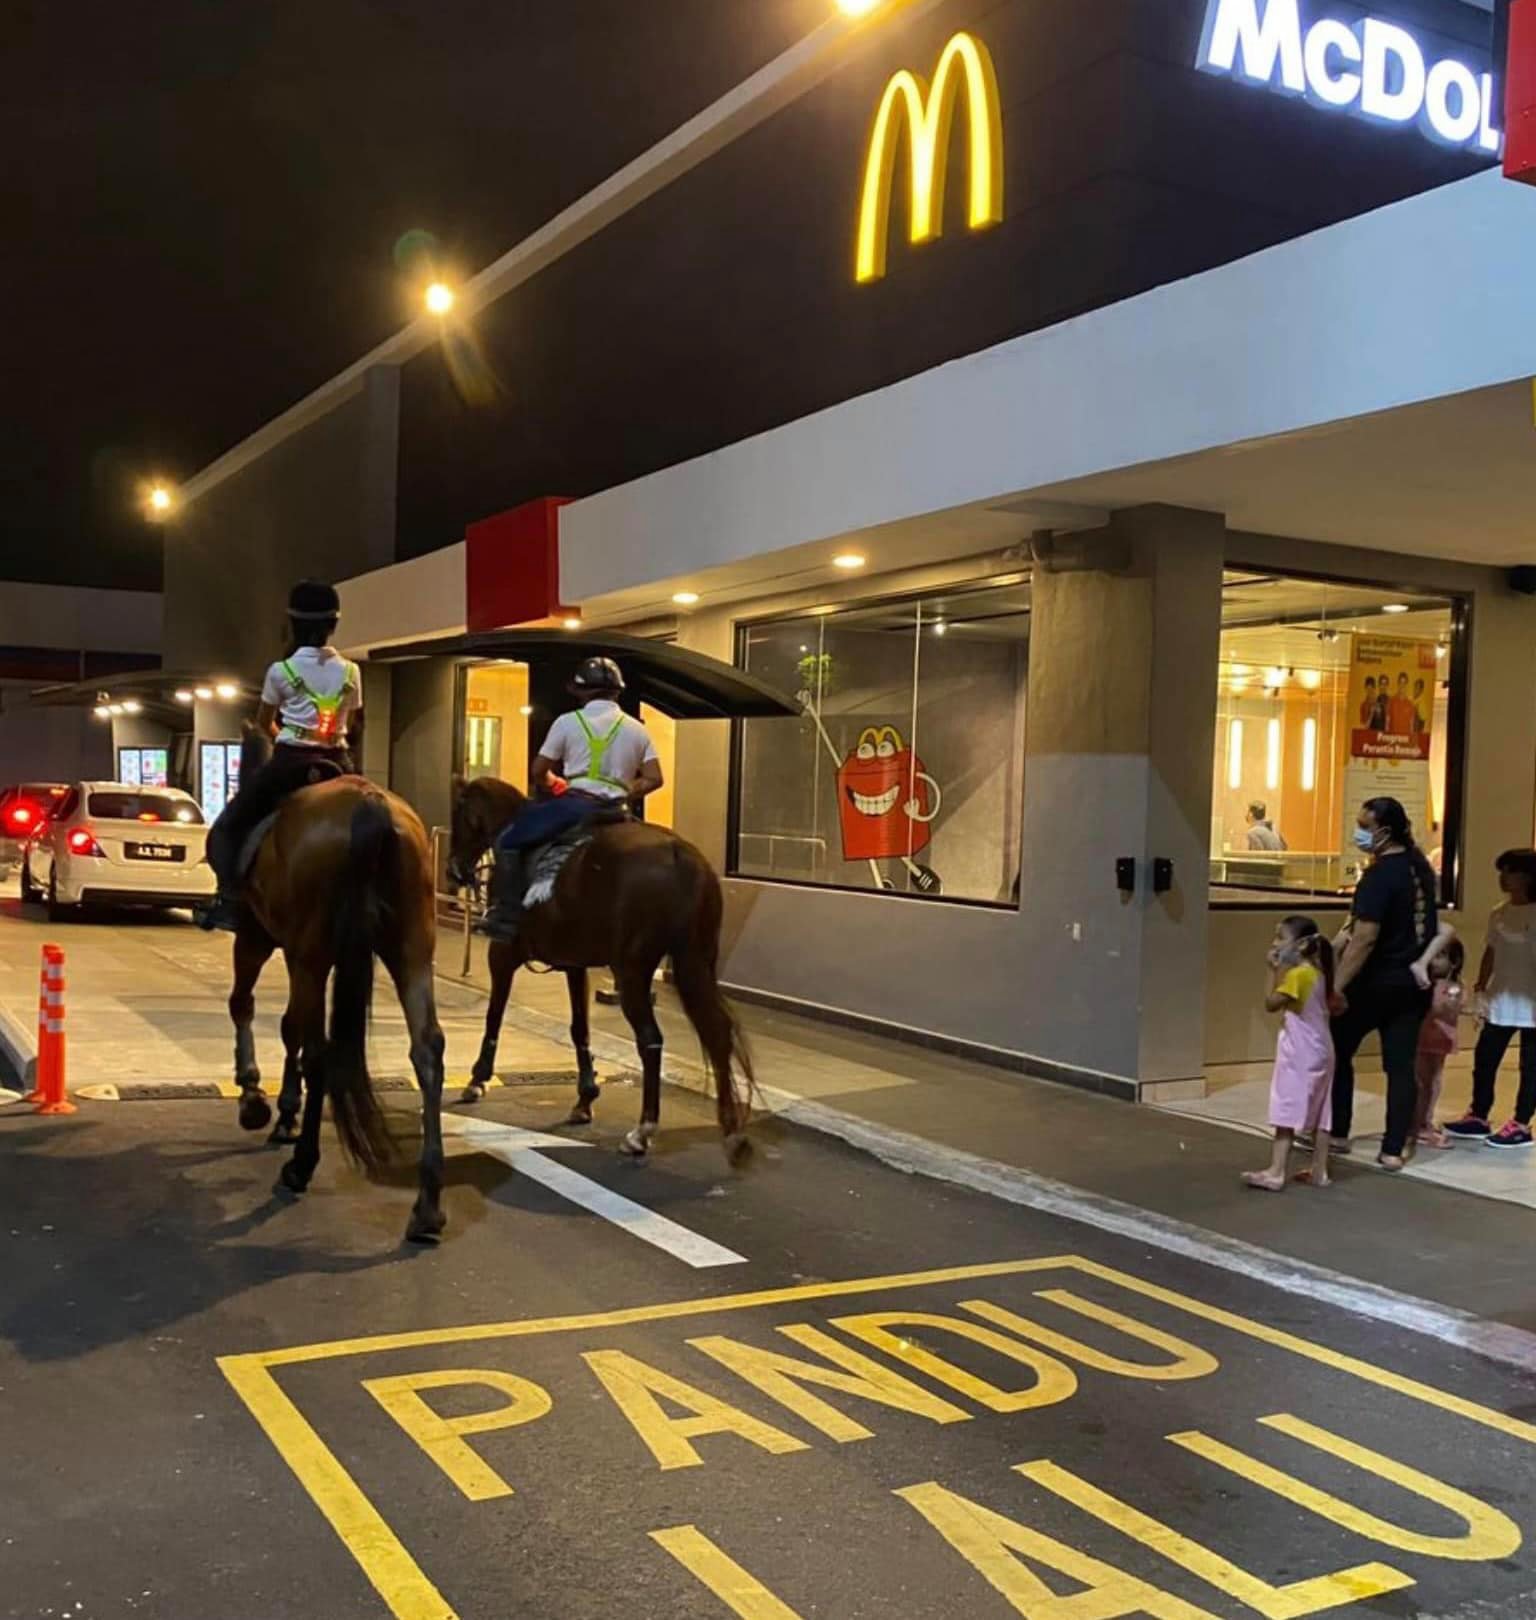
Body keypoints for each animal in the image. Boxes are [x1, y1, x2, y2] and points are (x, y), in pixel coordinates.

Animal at [226, 771, 450, 1237]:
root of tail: (370, 804)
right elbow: (289, 1025)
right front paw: (282, 1111)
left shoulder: (258, 936)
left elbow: (249, 1008)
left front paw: (256, 1098)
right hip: (412, 949)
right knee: (427, 1050)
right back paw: (427, 1206)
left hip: (312, 953)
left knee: (318, 1053)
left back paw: (302, 1165)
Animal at [447, 774, 751, 1166]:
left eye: (459, 813)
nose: (454, 870)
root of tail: (679, 855)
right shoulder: (575, 964)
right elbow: (580, 1029)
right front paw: (585, 1097)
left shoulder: (502, 954)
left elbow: (494, 1015)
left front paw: (477, 1079)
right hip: (695, 960)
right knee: (717, 1032)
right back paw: (732, 1131)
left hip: (632, 970)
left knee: (651, 1039)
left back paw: (642, 1131)